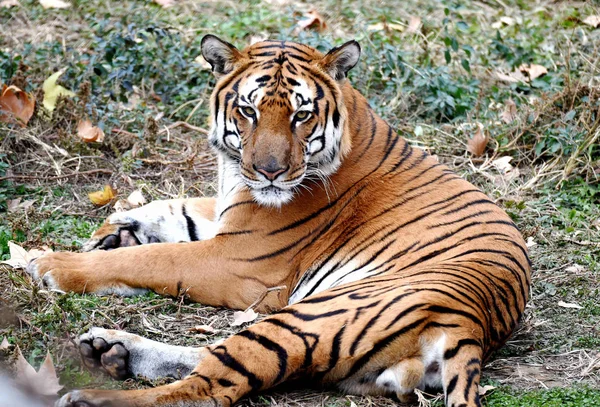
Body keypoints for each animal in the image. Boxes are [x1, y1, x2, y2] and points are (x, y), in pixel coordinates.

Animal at [27, 35, 528, 407]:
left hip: (308, 316)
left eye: (301, 115)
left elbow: (154, 258)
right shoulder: (228, 214)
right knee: (213, 358)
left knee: (209, 386)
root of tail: (471, 327)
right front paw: (115, 229)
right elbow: (176, 208)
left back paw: (92, 391)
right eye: (248, 110)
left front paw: (50, 263)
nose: (269, 171)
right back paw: (110, 350)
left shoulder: (238, 259)